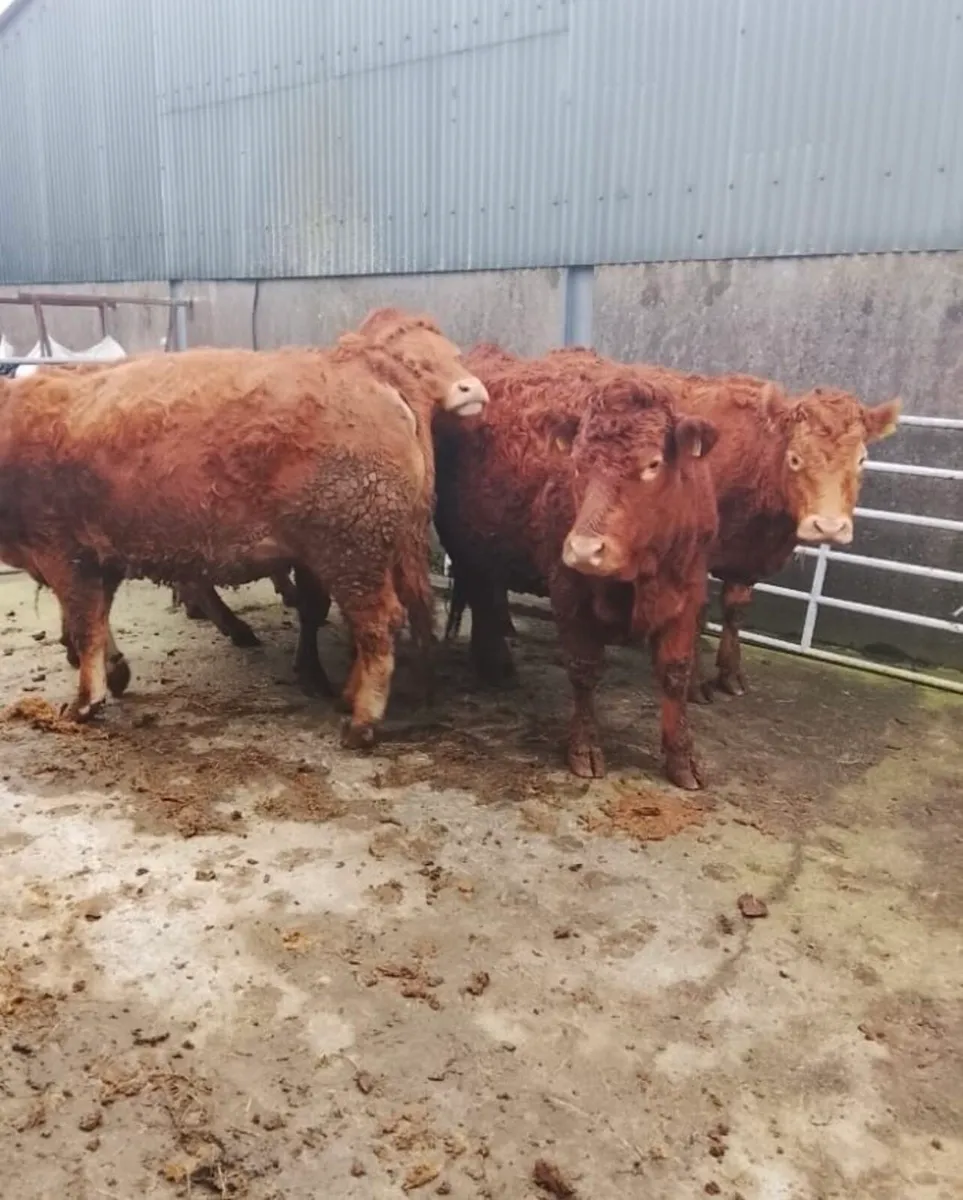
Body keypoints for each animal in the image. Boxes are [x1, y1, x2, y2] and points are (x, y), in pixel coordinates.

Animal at [0, 309, 488, 746]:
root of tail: (369, 371)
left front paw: (85, 702)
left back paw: (362, 722)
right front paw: (114, 671)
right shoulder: (100, 556)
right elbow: (96, 623)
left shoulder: (64, 552)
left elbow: (85, 624)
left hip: (350, 550)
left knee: (379, 624)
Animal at [434, 350, 719, 788]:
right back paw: (496, 662)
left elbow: (676, 673)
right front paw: (584, 749)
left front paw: (682, 758)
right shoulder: (569, 590)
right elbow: (584, 670)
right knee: (482, 597)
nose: (585, 550)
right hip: (466, 544)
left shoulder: (688, 590)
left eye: (653, 464)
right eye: (579, 461)